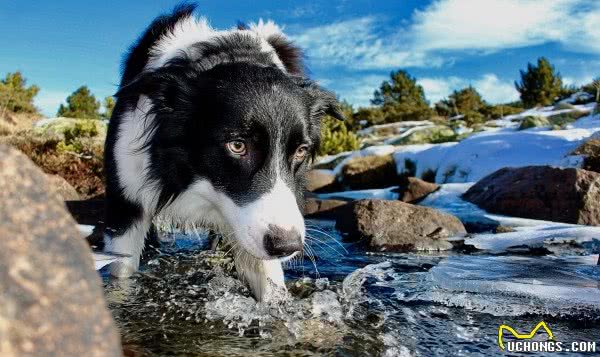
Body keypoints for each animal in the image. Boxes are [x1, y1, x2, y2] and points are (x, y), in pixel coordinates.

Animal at [103, 4, 342, 300]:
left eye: (300, 151)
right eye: (237, 145)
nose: (287, 246)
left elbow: (270, 285)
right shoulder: (127, 199)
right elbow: (121, 274)